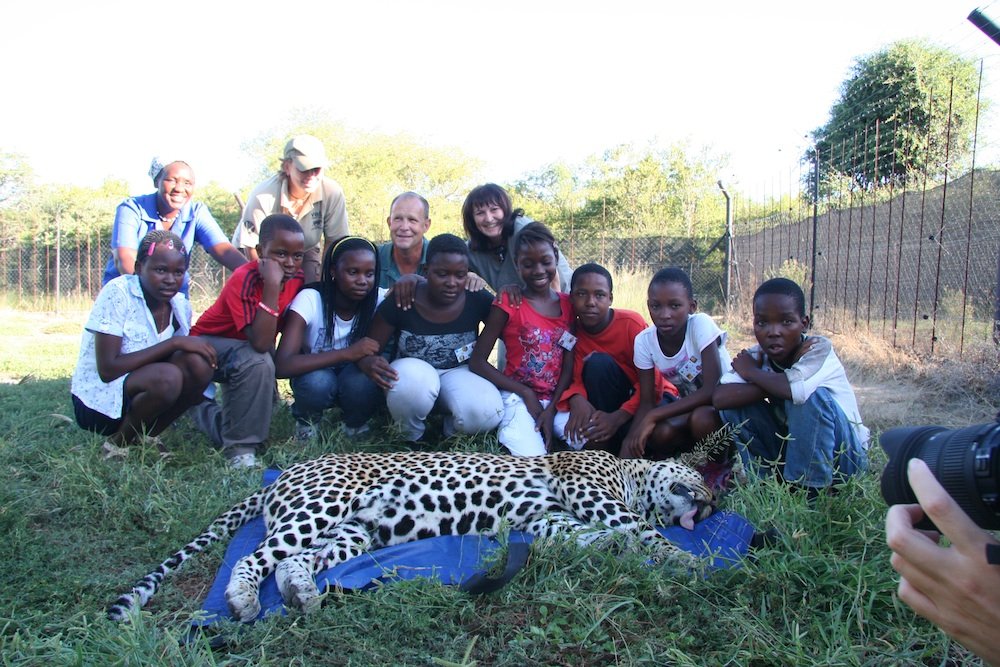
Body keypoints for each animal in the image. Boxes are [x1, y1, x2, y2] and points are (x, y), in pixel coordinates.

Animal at [107, 449, 714, 622]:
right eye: (703, 480)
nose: (710, 506)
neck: (631, 473)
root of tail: (287, 472)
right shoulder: (591, 495)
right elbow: (639, 531)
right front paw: (689, 563)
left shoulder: (548, 521)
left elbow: (598, 539)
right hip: (320, 505)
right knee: (254, 557)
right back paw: (240, 599)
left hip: (353, 532)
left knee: (294, 563)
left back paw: (301, 594)